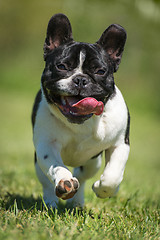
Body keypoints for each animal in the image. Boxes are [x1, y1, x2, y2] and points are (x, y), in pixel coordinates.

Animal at [31, 13, 130, 208]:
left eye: (100, 71)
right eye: (61, 66)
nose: (80, 80)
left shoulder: (120, 144)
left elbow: (113, 175)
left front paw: (103, 189)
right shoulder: (46, 144)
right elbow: (56, 166)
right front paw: (65, 182)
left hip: (92, 162)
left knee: (82, 176)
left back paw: (76, 203)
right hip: (38, 163)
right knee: (47, 182)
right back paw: (51, 201)